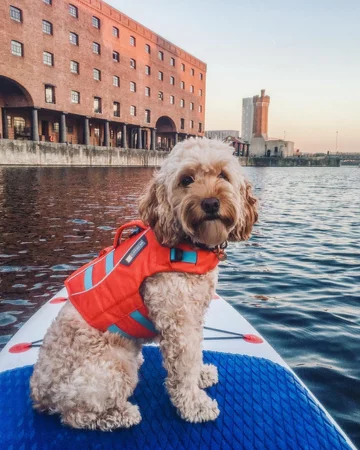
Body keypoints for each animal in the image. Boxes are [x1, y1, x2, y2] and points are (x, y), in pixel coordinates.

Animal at [29, 138, 258, 432]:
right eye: (186, 179)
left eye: (223, 175)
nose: (210, 203)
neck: (186, 243)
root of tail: (40, 393)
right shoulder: (178, 322)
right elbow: (185, 365)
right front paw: (195, 405)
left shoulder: (195, 316)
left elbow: (196, 353)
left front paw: (202, 374)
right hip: (113, 368)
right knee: (76, 416)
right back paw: (122, 415)